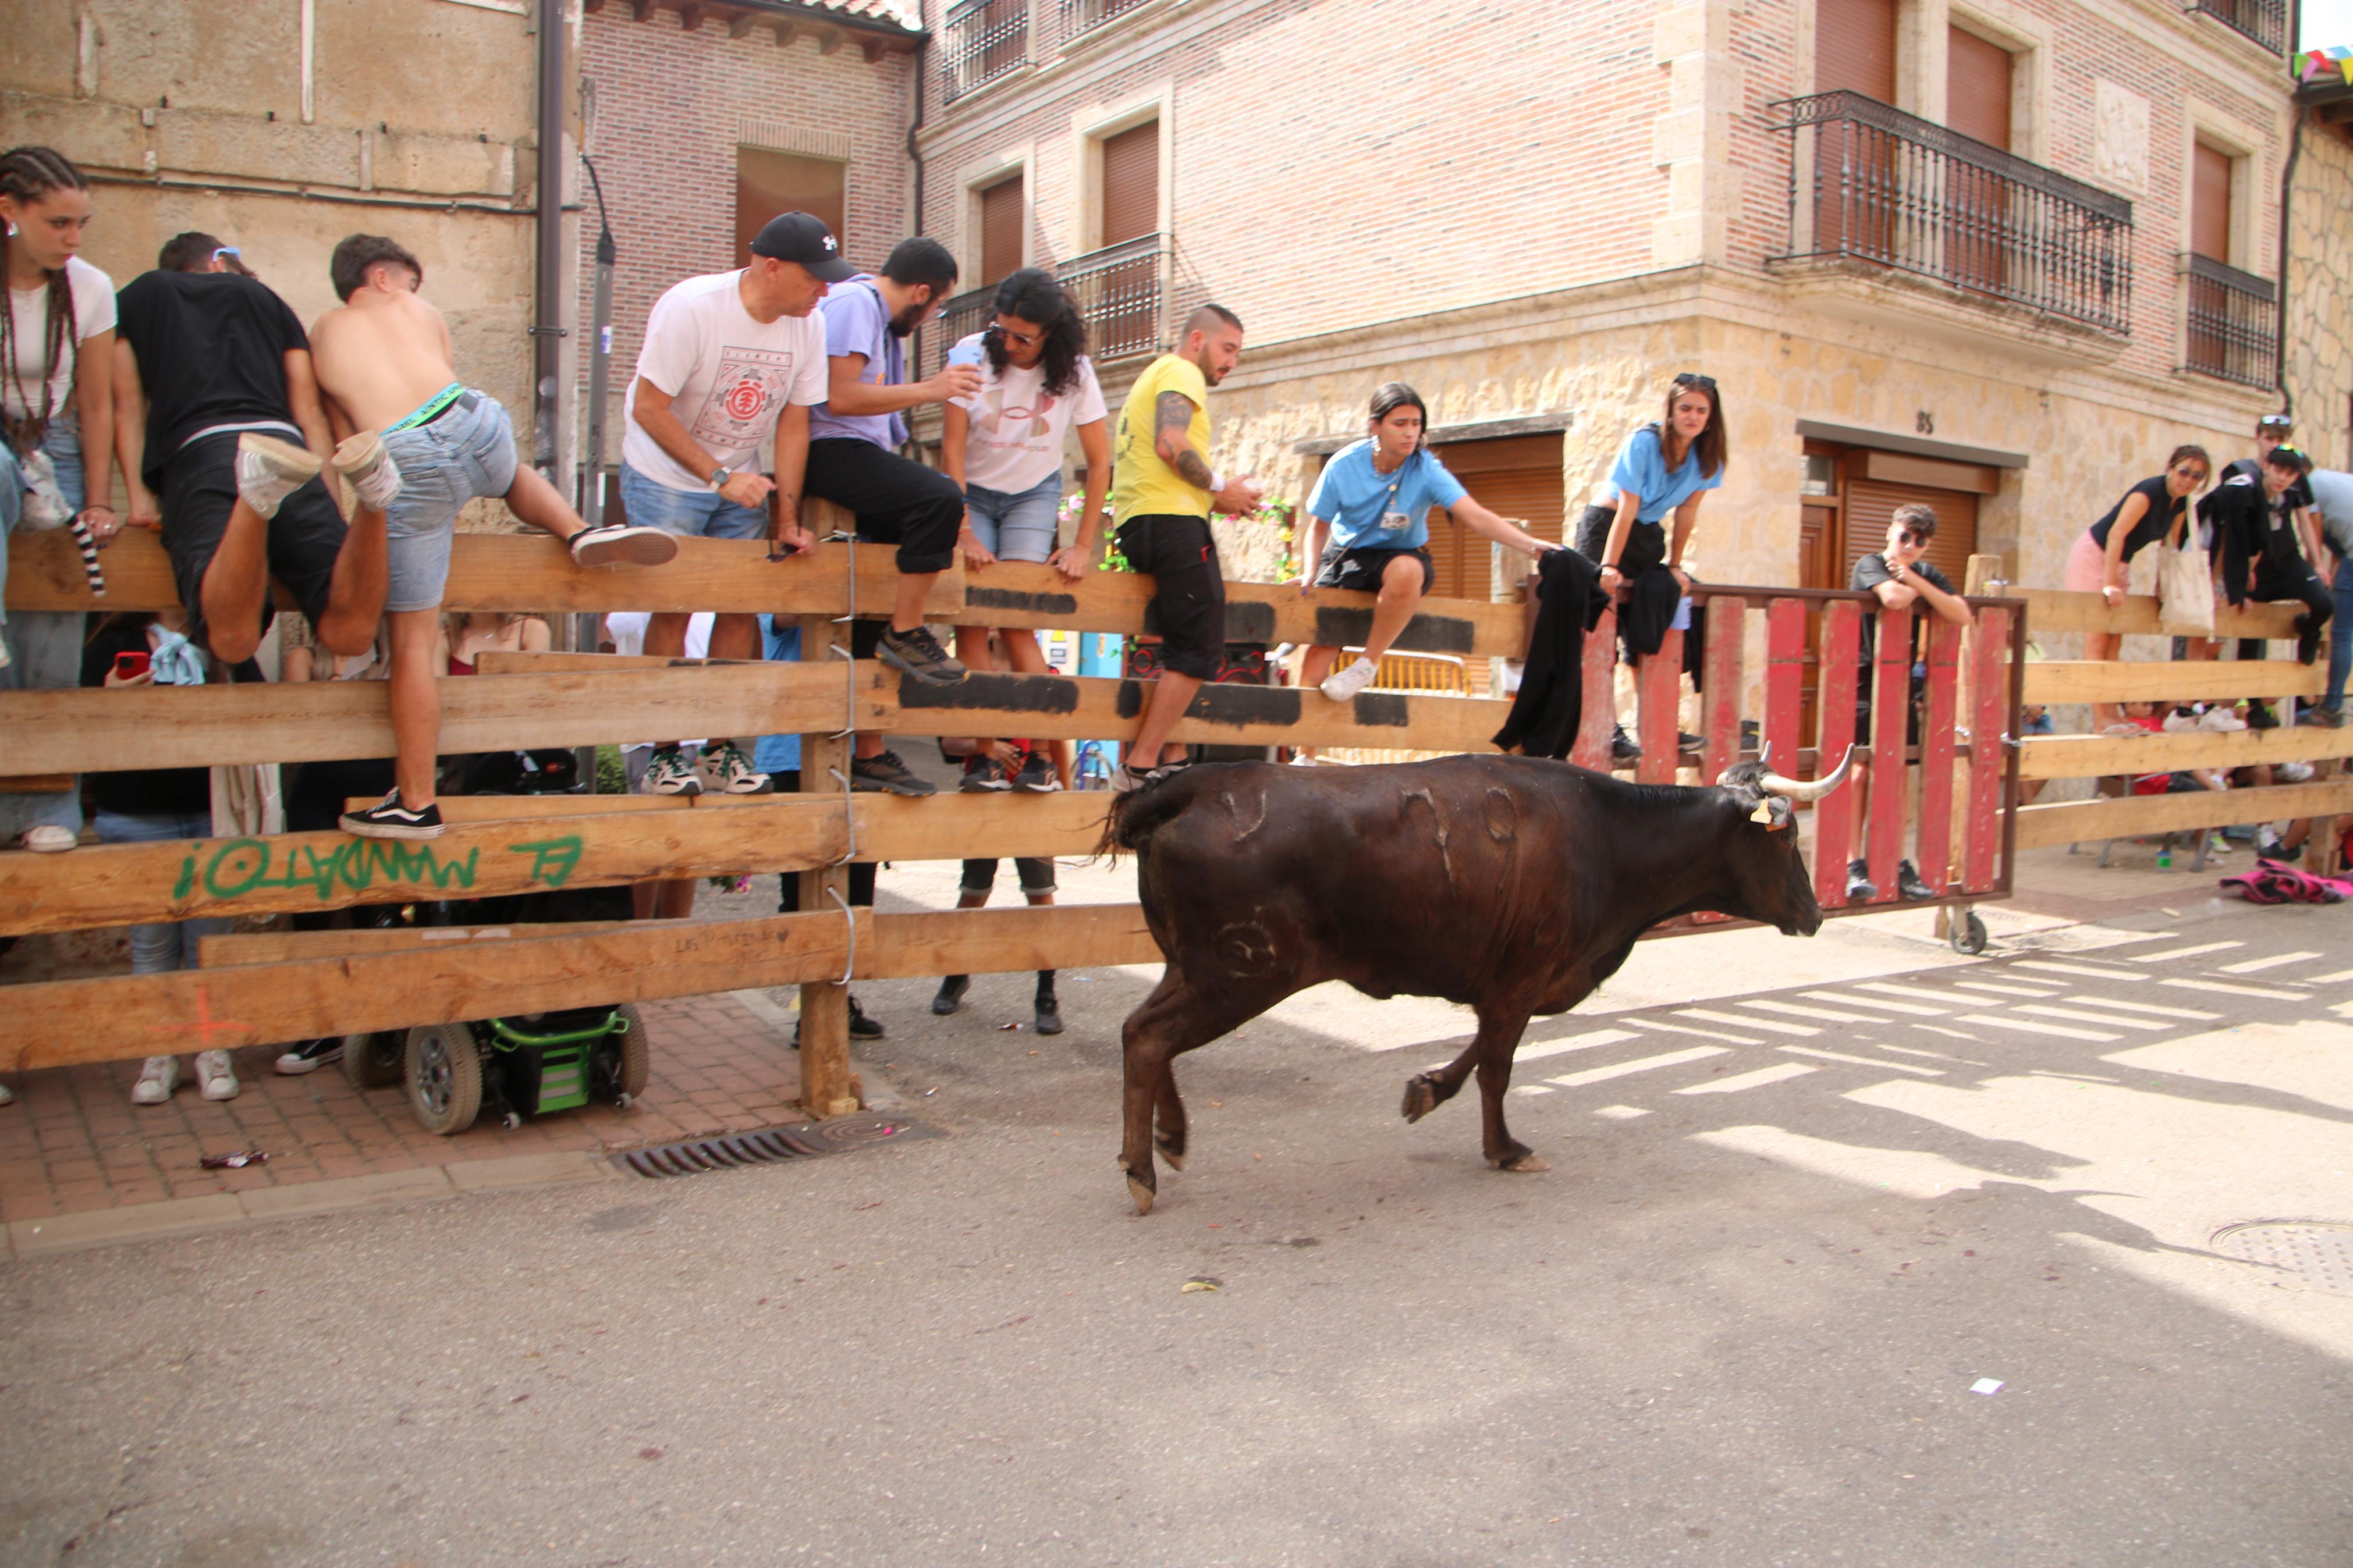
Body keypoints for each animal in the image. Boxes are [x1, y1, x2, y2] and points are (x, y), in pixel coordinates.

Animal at [1091, 752, 1844, 1222]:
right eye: (1784, 840)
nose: (1814, 915)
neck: (1608, 838)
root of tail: (1195, 783)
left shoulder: (1504, 983)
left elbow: (1477, 1054)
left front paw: (1425, 1090)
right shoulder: (1521, 981)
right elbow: (1497, 1068)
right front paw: (1505, 1149)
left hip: (1191, 966)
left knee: (1143, 1032)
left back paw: (1170, 1137)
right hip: (1240, 971)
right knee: (1148, 1037)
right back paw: (1142, 1172)